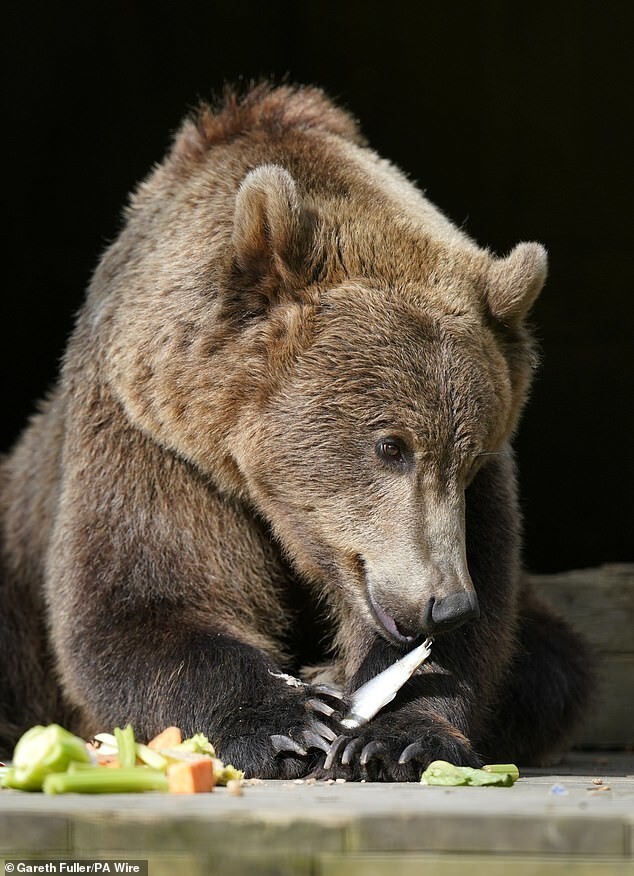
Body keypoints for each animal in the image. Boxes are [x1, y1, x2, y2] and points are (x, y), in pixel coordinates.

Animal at [1, 82, 592, 780]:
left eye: (468, 458)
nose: (446, 603)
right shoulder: (150, 439)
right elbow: (143, 602)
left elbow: (486, 634)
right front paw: (289, 720)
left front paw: (392, 735)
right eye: (390, 446)